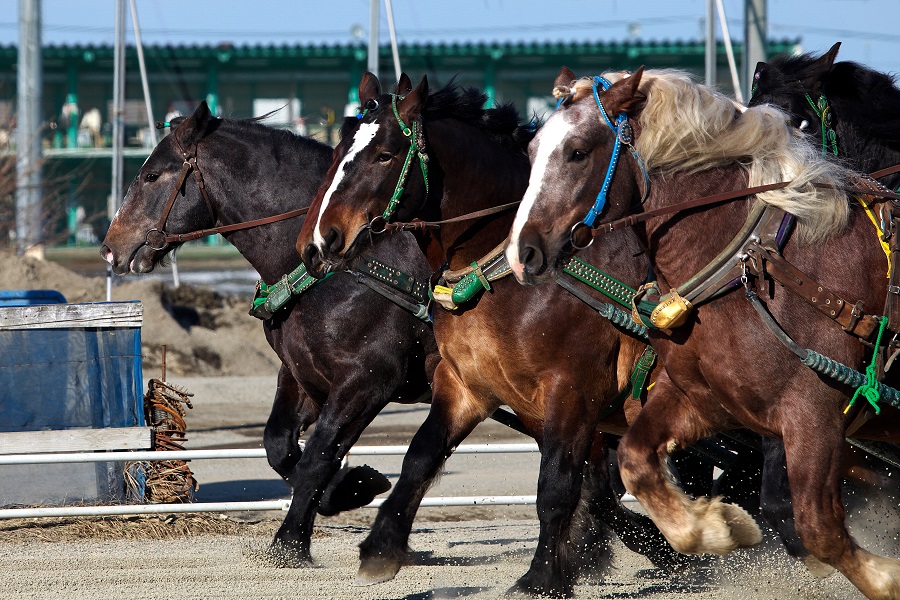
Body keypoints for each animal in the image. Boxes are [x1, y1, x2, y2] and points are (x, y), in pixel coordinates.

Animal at [298, 72, 700, 596]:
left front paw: (542, 575)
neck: (503, 270)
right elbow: (420, 457)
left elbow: (556, 487)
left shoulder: (572, 393)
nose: (320, 241)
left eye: (384, 155)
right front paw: (382, 546)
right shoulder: (467, 386)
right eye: (338, 149)